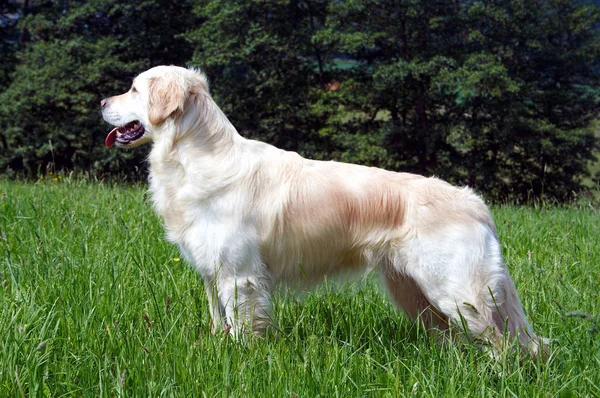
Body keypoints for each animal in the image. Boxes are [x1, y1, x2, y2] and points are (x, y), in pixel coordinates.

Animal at [102, 65, 548, 358]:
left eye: (134, 89)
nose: (102, 101)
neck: (194, 155)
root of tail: (474, 201)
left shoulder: (240, 275)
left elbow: (243, 327)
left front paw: (239, 361)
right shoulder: (213, 272)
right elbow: (219, 321)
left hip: (457, 291)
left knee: (502, 342)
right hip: (414, 293)